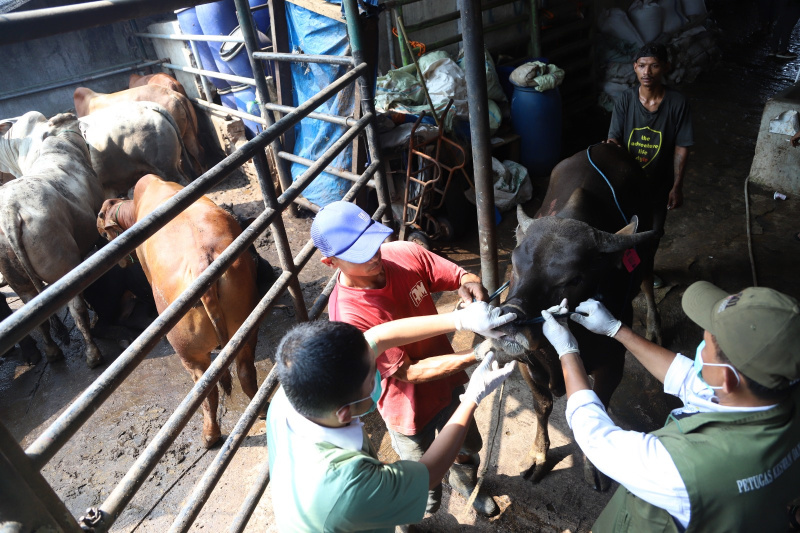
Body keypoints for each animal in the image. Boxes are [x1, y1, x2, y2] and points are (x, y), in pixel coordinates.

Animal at [0, 110, 104, 368]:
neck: (58, 147)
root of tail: (10, 211)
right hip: (61, 263)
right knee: (76, 308)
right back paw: (92, 354)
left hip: (17, 277)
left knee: (35, 316)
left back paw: (52, 351)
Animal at [96, 174, 260, 444]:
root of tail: (202, 262)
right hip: (246, 324)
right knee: (245, 371)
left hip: (187, 350)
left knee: (206, 390)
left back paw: (210, 436)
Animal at [488, 143, 664, 488]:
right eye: (513, 264)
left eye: (572, 279)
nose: (510, 320)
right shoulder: (528, 364)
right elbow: (542, 406)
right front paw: (538, 456)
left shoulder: (613, 364)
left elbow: (598, 406)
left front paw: (593, 466)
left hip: (649, 252)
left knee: (648, 282)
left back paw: (654, 327)